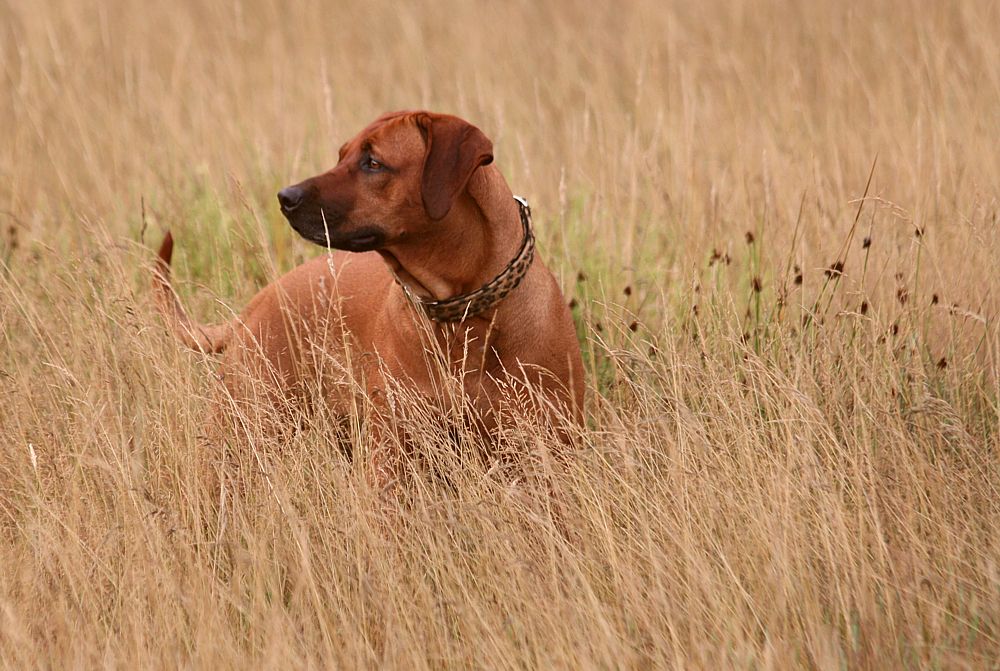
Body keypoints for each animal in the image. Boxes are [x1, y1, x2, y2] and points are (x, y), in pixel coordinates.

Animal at [155, 110, 584, 476]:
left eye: (373, 163)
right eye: (342, 155)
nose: (285, 197)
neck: (464, 313)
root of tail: (257, 302)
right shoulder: (394, 460)